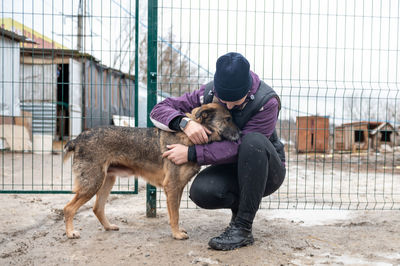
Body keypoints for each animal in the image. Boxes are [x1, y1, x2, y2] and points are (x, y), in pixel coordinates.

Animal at [62, 103, 238, 240]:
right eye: (227, 119)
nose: (240, 135)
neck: (190, 137)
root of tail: (78, 139)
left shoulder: (178, 188)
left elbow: (175, 212)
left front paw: (177, 230)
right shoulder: (172, 186)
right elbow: (175, 214)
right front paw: (176, 234)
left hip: (106, 181)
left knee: (97, 208)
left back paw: (108, 226)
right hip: (93, 183)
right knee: (69, 209)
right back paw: (71, 233)